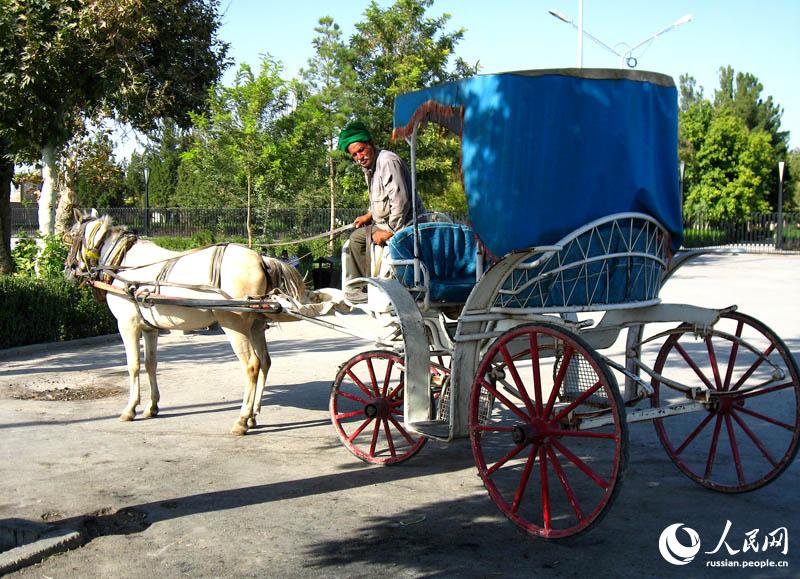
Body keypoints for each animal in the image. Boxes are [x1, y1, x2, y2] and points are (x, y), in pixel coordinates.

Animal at [62, 210, 304, 436]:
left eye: (71, 236)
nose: (68, 270)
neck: (124, 266)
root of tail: (261, 259)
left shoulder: (128, 326)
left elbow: (133, 366)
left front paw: (130, 408)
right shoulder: (150, 329)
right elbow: (150, 364)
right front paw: (152, 406)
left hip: (234, 326)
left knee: (252, 365)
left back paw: (242, 419)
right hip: (255, 326)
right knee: (265, 362)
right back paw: (253, 415)